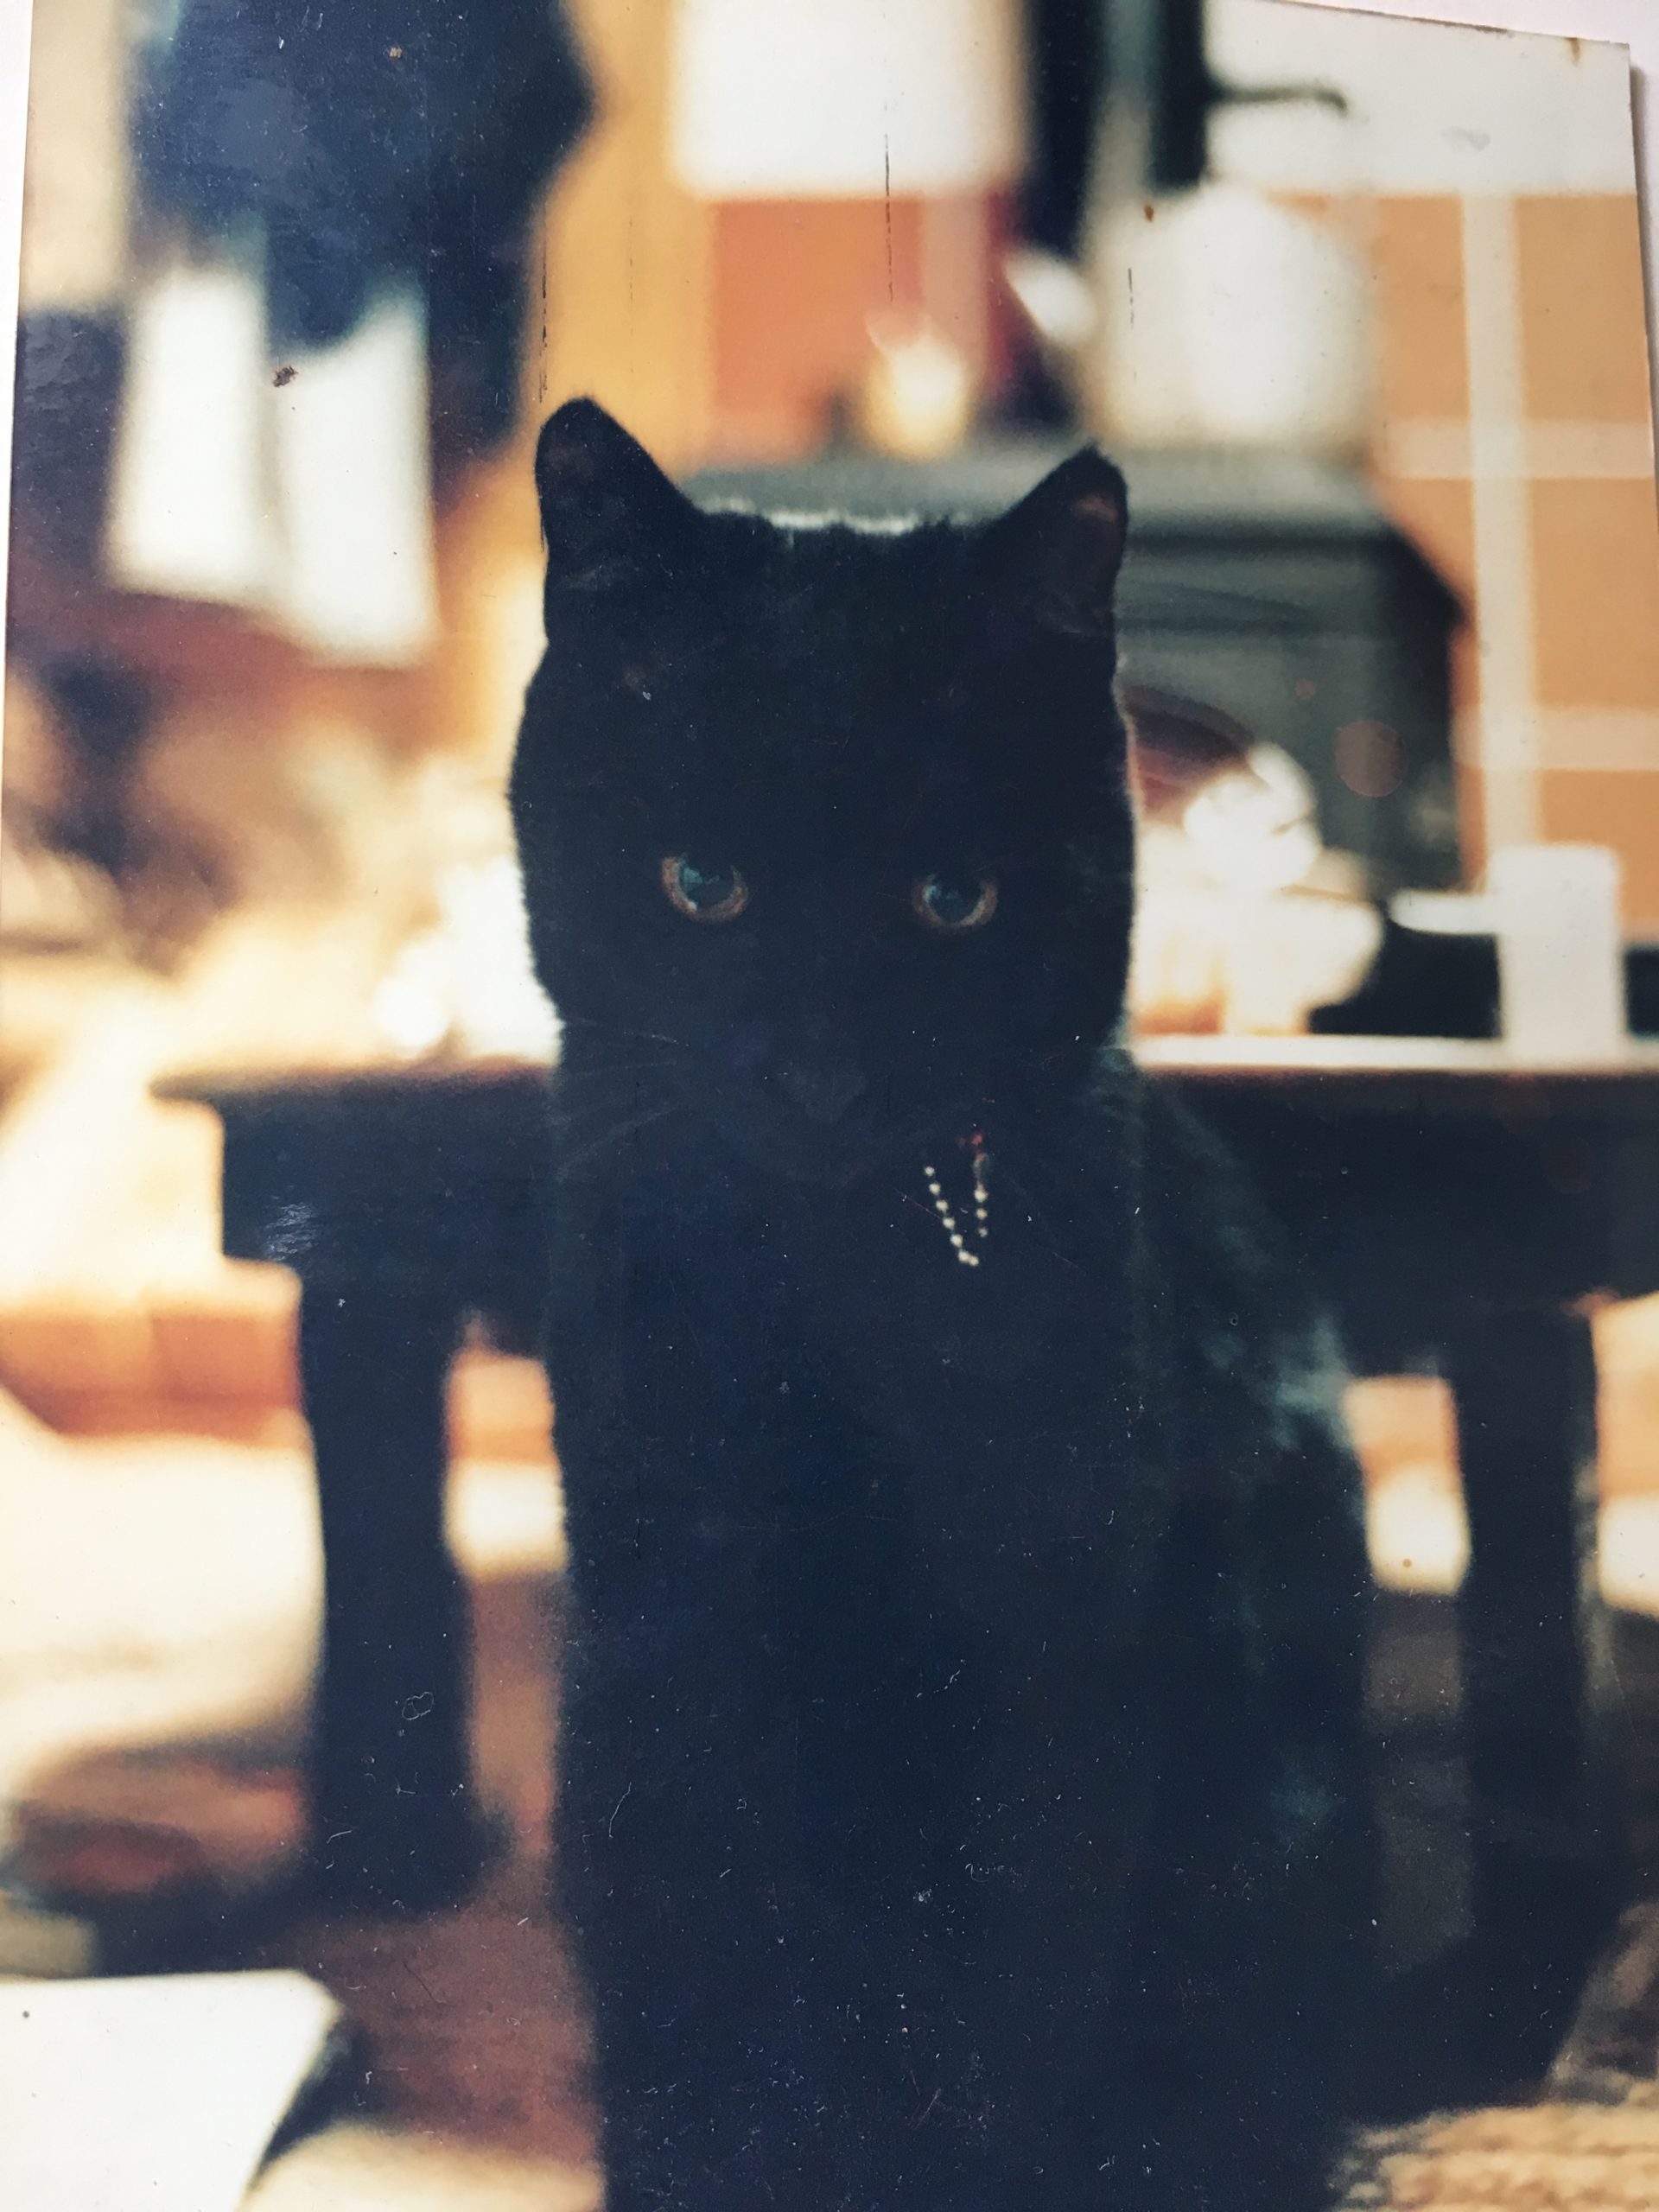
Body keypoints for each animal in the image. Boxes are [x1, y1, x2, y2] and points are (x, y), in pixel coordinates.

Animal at [511, 398, 1376, 2212]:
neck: (828, 1301)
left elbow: (1005, 1994)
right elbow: (738, 1966)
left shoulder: (1050, 1629)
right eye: (701, 884)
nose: (820, 1075)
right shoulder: (685, 1625)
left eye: (950, 903)